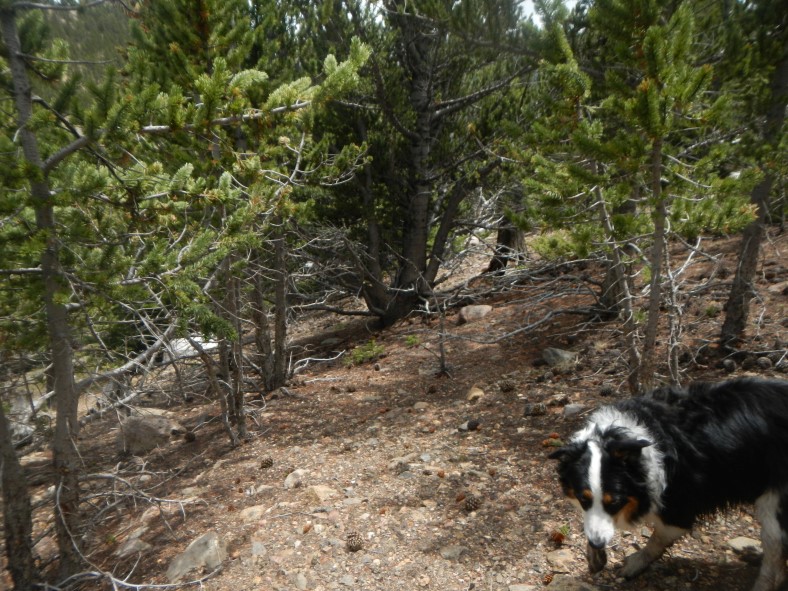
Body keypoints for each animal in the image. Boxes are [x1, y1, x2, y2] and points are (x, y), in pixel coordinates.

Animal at [552, 380, 788, 591]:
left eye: (615, 501)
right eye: (583, 498)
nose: (597, 544)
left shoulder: (680, 504)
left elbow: (657, 537)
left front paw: (635, 563)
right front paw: (595, 556)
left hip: (774, 504)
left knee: (775, 549)